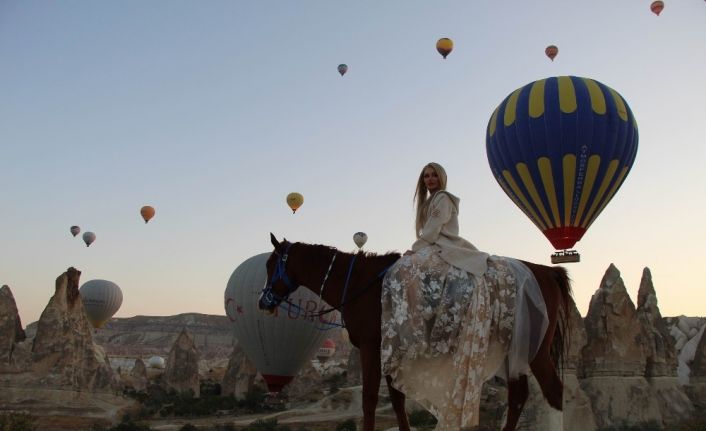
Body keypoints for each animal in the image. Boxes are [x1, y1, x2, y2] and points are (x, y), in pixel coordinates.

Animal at [262, 235, 568, 430]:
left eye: (270, 265)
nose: (263, 302)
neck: (361, 283)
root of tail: (545, 271)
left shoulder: (372, 347)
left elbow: (370, 400)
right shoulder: (389, 348)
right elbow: (397, 401)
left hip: (535, 350)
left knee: (554, 392)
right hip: (514, 350)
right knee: (519, 396)